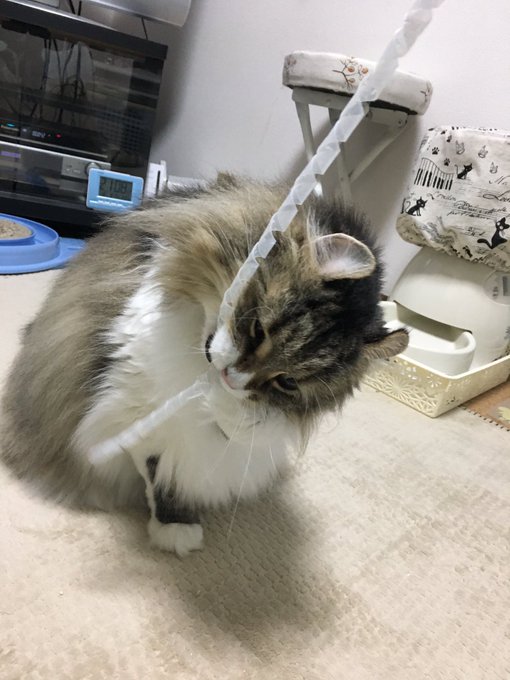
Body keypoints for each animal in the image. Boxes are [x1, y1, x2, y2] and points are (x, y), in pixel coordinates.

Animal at [1, 175, 408, 556]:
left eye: (287, 382)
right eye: (258, 331)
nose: (233, 378)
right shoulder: (137, 406)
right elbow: (159, 469)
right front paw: (174, 529)